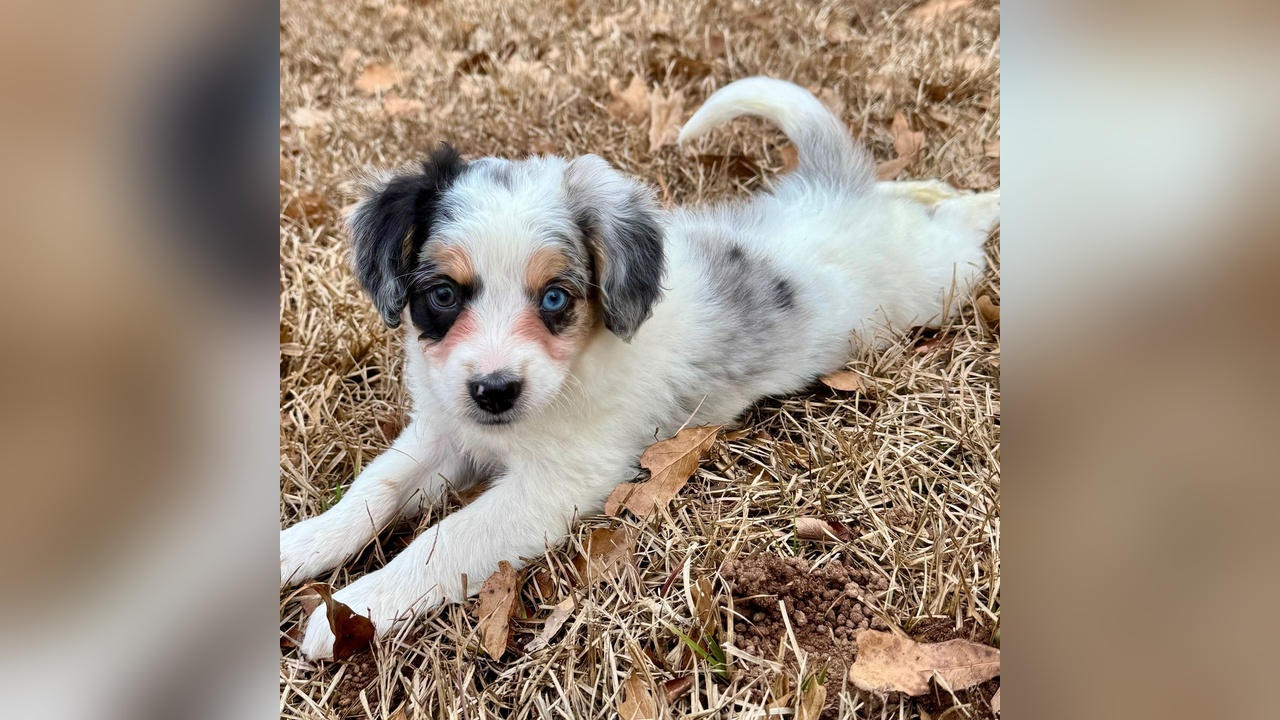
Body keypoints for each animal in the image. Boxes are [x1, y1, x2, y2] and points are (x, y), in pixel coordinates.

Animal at [281, 77, 999, 660]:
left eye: (555, 299)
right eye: (443, 295)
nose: (493, 392)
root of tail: (840, 197)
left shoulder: (555, 488)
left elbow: (446, 538)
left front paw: (355, 608)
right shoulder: (443, 429)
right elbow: (374, 489)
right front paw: (302, 544)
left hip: (942, 280)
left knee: (962, 228)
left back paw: (989, 199)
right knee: (911, 193)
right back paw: (932, 185)